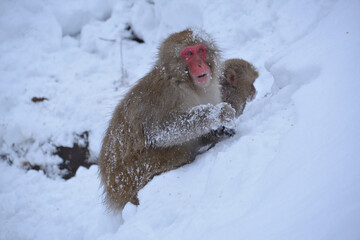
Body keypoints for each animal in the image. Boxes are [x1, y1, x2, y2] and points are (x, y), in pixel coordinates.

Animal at [97, 29, 236, 211]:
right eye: (188, 54)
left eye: (200, 50)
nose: (200, 65)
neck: (187, 83)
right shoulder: (166, 96)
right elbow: (160, 131)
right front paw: (217, 113)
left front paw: (218, 132)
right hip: (130, 176)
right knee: (177, 151)